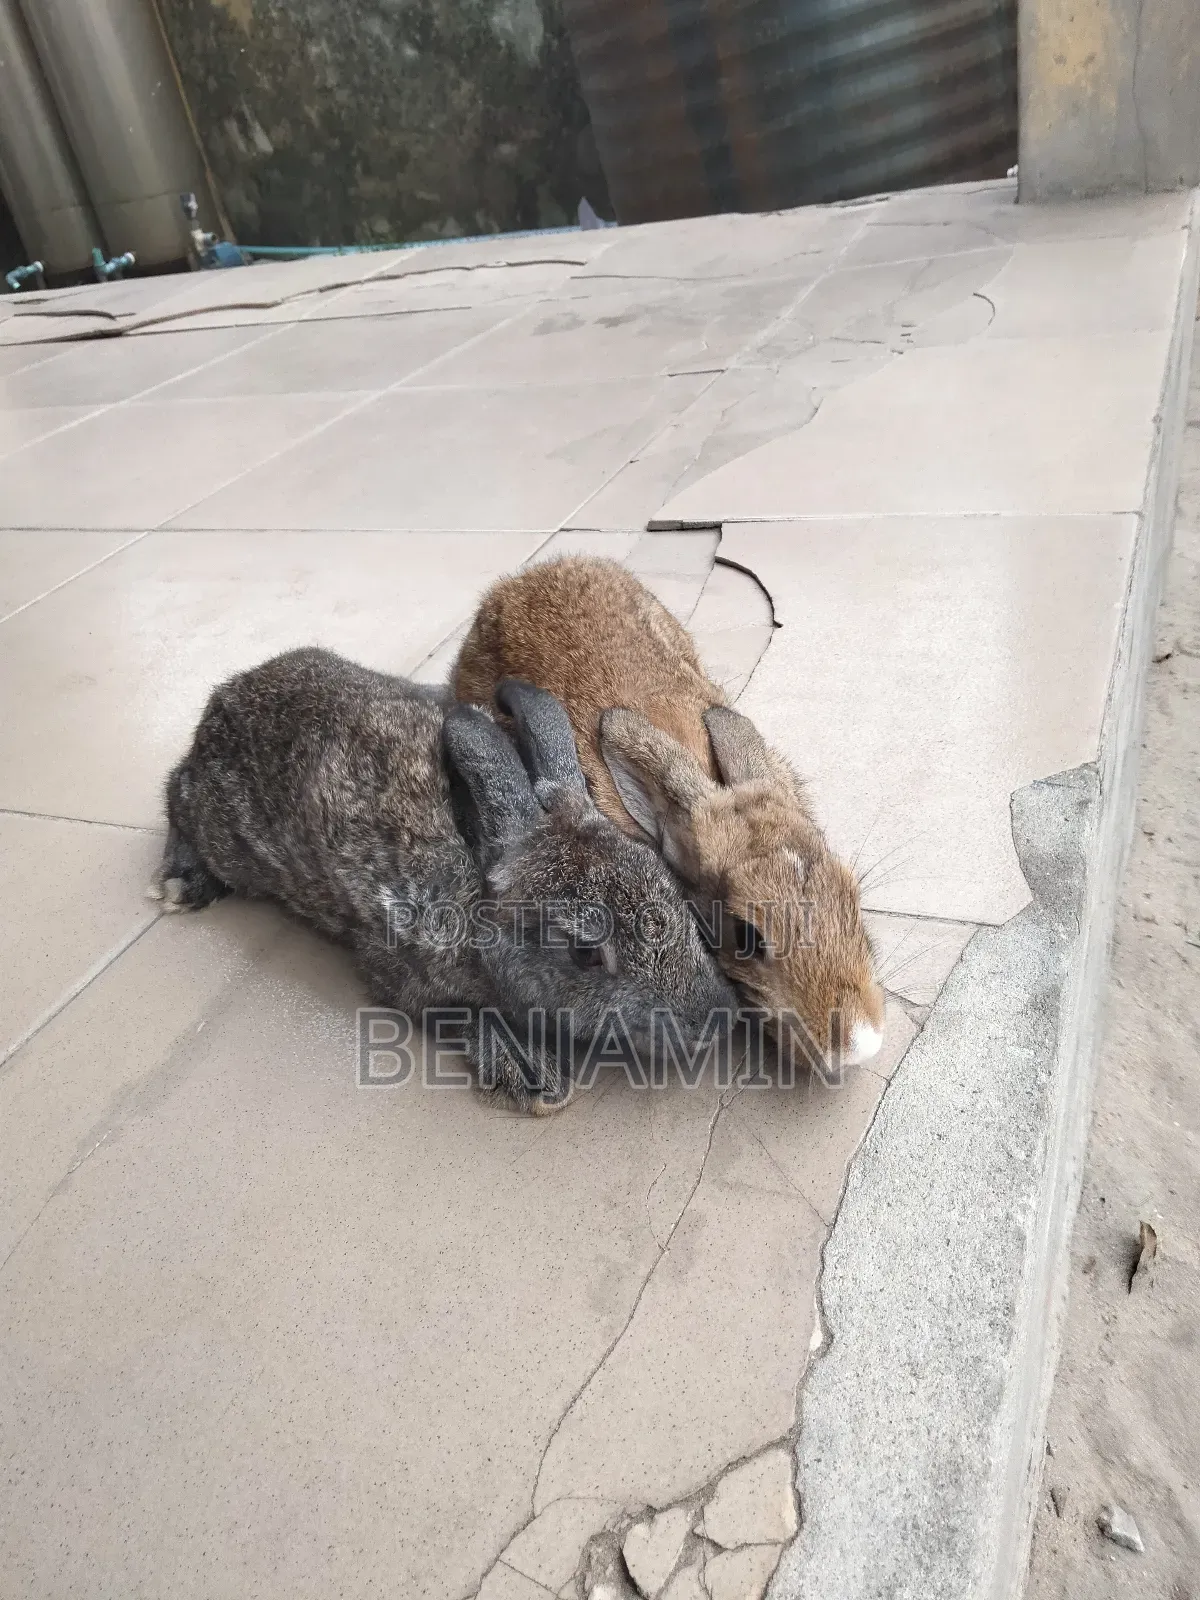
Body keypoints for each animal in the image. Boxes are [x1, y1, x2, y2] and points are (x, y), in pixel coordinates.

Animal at [150, 647, 736, 1113]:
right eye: (586, 953)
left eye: (671, 892)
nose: (714, 1023)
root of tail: (222, 699)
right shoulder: (403, 971)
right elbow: (459, 1013)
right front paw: (531, 1072)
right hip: (227, 835)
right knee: (176, 794)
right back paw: (182, 884)